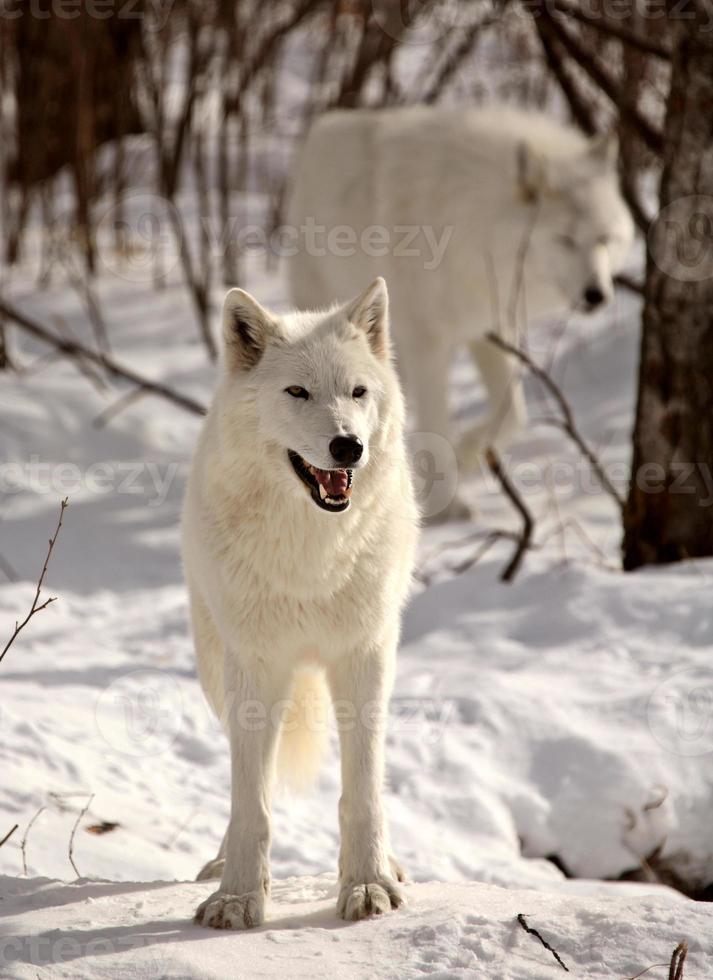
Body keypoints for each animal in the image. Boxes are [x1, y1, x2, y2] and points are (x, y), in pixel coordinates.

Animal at [181, 278, 420, 936]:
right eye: (298, 392)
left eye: (358, 392)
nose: (348, 446)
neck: (314, 554)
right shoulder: (255, 668)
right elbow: (251, 802)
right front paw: (238, 896)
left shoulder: (365, 657)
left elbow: (362, 792)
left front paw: (369, 884)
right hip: (216, 671)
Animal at [286, 105, 632, 520]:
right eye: (565, 239)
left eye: (604, 239)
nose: (597, 295)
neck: (476, 218)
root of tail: (322, 126)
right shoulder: (427, 342)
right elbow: (437, 424)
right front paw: (445, 506)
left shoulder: (488, 327)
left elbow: (513, 413)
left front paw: (466, 457)